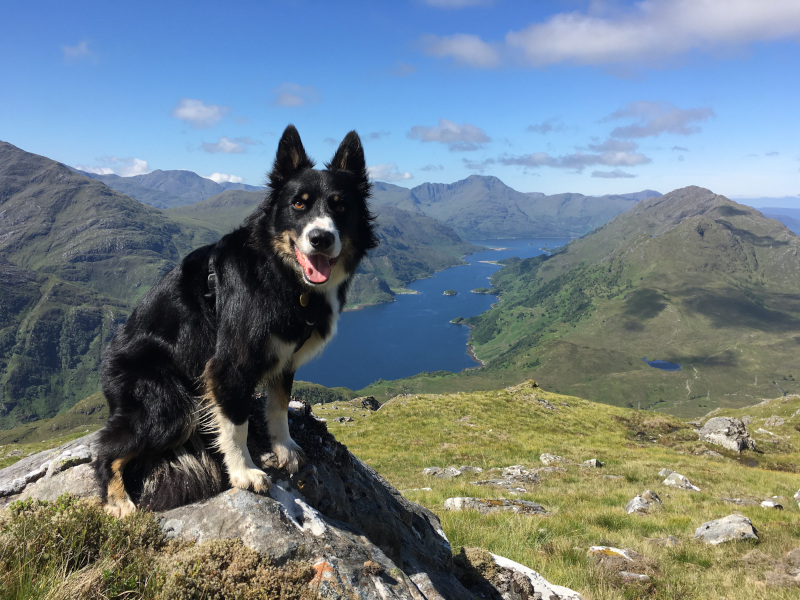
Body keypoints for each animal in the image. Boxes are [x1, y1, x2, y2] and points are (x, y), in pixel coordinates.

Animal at [95, 125, 376, 516]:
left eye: (340, 205)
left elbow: (278, 406)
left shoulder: (285, 358)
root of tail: (107, 364)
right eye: (298, 204)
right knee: (107, 449)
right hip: (170, 406)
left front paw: (285, 448)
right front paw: (244, 472)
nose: (321, 238)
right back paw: (118, 500)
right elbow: (235, 424)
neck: (279, 273)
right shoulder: (230, 364)